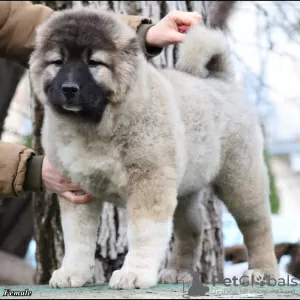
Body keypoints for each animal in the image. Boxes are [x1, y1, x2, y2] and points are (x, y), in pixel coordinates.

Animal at [28, 7, 278, 290]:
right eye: (57, 62)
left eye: (94, 63)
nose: (69, 88)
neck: (94, 126)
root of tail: (220, 80)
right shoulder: (76, 190)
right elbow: (78, 237)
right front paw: (72, 272)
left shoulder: (149, 183)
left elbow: (144, 233)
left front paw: (133, 274)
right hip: (185, 187)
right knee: (191, 226)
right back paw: (179, 270)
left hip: (240, 178)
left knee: (256, 224)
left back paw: (262, 271)